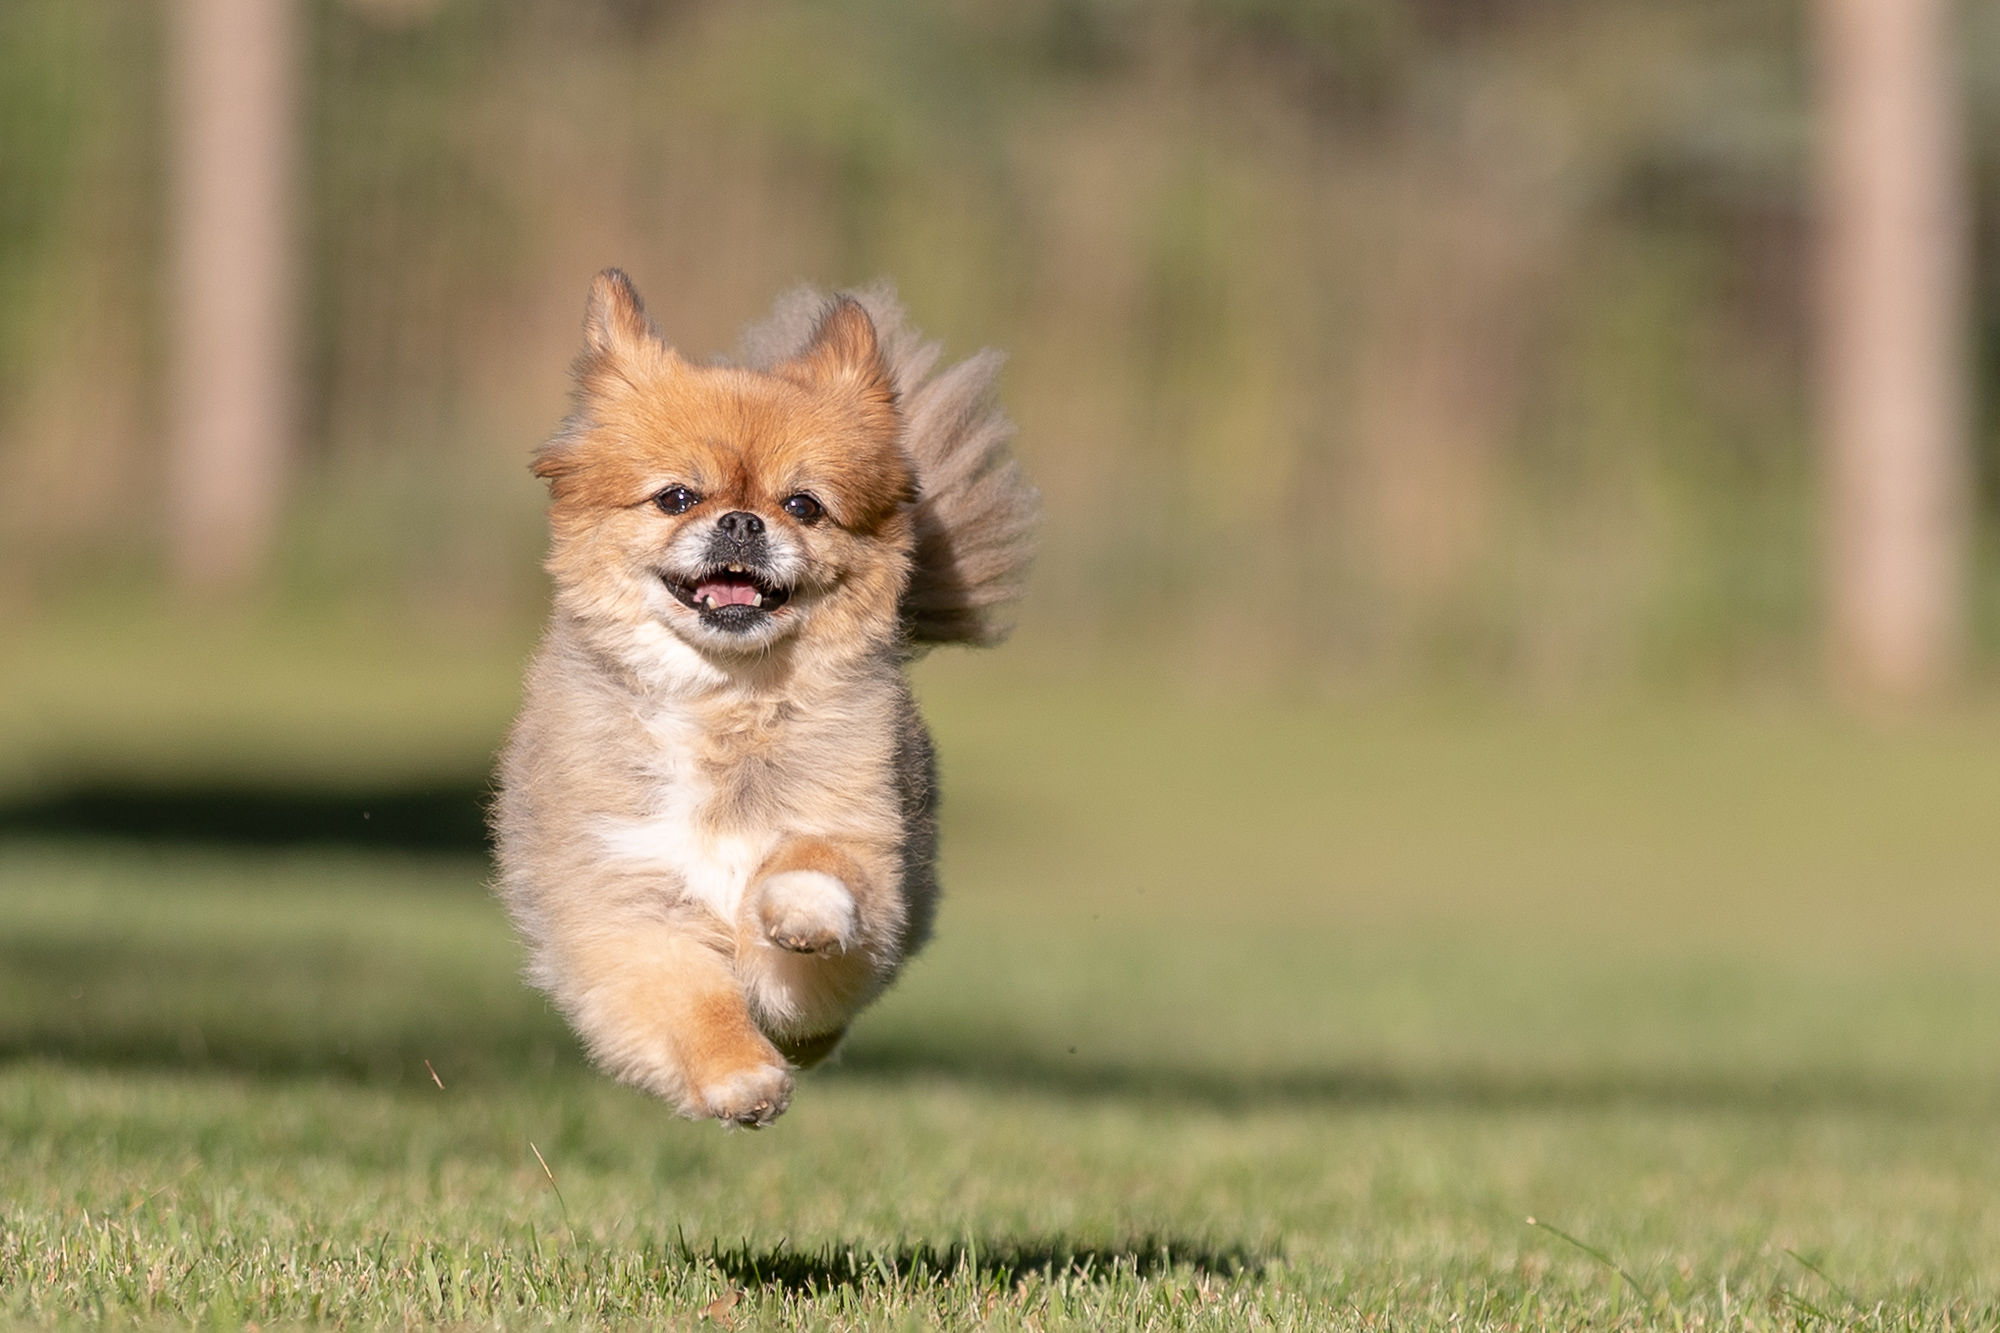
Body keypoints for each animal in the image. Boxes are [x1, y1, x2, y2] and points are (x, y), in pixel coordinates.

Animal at [492, 274, 1040, 1128]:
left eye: (804, 505)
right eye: (676, 497)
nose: (743, 521)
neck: (726, 702)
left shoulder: (863, 850)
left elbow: (813, 888)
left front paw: (800, 911)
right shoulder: (628, 903)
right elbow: (694, 1004)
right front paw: (739, 1077)